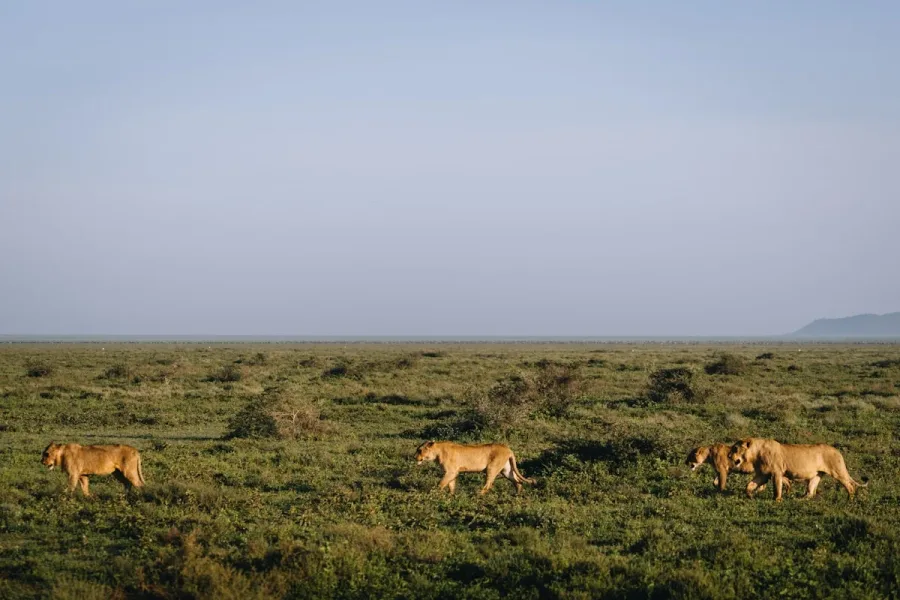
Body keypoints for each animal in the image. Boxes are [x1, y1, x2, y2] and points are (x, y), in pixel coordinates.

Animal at [729, 438, 867, 501]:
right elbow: (749, 485)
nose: (729, 456)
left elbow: (777, 488)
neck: (756, 454)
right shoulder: (763, 474)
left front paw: (777, 500)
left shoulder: (777, 472)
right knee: (810, 492)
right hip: (817, 475)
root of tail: (837, 451)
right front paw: (750, 496)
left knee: (850, 486)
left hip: (837, 471)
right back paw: (799, 499)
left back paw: (849, 500)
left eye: (735, 448)